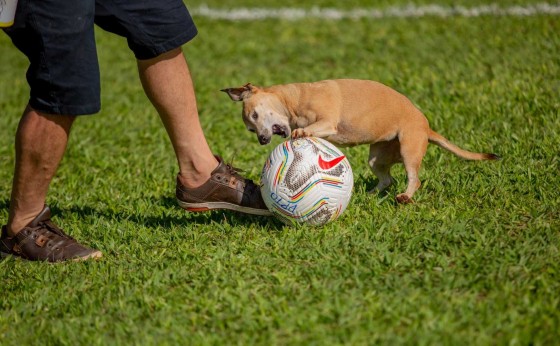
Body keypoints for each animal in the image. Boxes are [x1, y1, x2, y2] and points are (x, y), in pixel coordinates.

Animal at [221, 79, 496, 203]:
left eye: (255, 115)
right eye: (250, 128)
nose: (262, 139)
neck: (295, 99)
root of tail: (427, 127)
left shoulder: (327, 122)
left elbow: (311, 128)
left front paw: (301, 133)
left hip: (409, 148)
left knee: (413, 178)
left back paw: (405, 196)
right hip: (378, 157)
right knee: (386, 178)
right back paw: (371, 194)